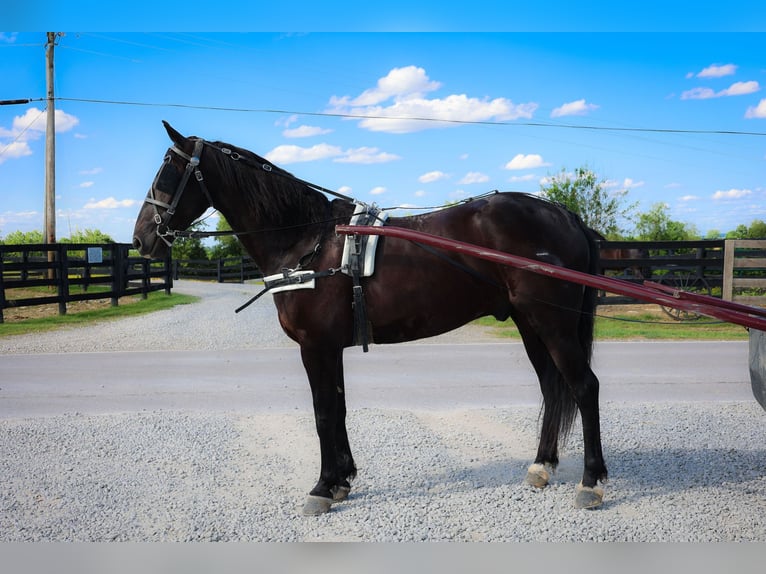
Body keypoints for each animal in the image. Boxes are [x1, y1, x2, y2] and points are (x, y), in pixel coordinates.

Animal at [134, 122, 612, 516]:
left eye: (167, 172)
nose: (142, 238)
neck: (308, 241)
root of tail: (565, 215)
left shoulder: (315, 347)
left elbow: (323, 412)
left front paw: (322, 488)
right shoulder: (329, 348)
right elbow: (339, 408)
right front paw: (341, 480)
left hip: (551, 323)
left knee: (585, 387)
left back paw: (591, 483)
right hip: (529, 323)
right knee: (552, 388)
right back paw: (541, 466)